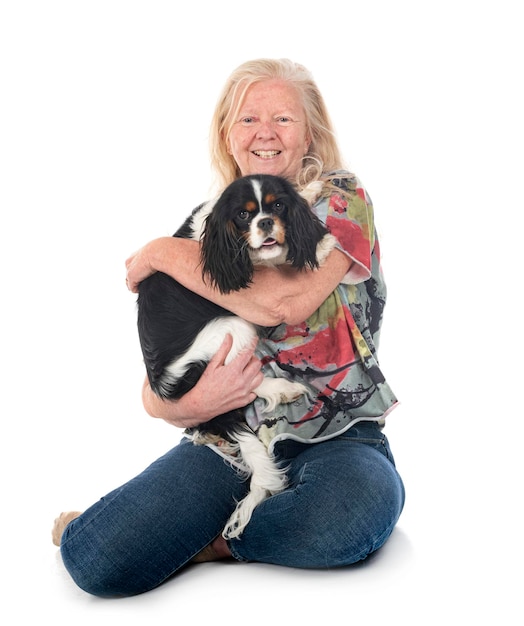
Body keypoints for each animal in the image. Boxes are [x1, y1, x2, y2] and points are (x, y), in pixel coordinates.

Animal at [136, 172, 336, 536]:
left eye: (277, 206)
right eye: (243, 215)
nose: (266, 222)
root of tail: (168, 384)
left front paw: (311, 188)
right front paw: (323, 245)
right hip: (230, 327)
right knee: (247, 380)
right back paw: (283, 389)